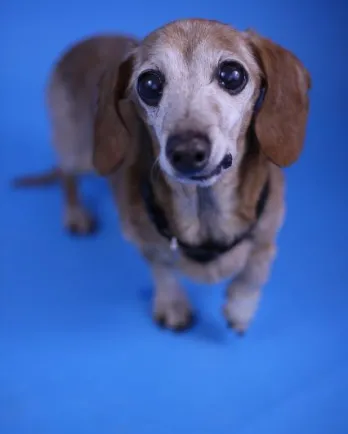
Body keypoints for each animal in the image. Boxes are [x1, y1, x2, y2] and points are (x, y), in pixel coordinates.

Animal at [13, 18, 312, 334]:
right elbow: (163, 269)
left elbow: (253, 273)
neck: (205, 213)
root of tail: (83, 43)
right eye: (149, 84)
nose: (187, 152)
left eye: (232, 75)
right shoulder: (144, 242)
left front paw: (240, 308)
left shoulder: (268, 237)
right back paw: (75, 214)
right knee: (66, 176)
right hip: (81, 155)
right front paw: (173, 304)